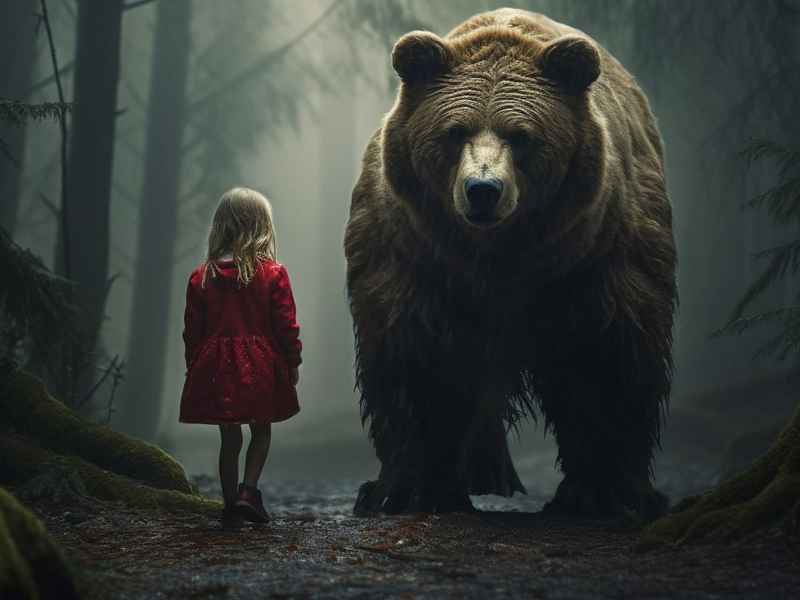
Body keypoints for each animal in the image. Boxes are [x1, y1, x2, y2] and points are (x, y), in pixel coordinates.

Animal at [344, 8, 677, 519]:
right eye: (455, 131)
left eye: (521, 135)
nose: (483, 190)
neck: (499, 256)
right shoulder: (414, 257)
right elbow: (413, 358)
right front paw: (404, 489)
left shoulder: (595, 260)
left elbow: (609, 356)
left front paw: (607, 491)